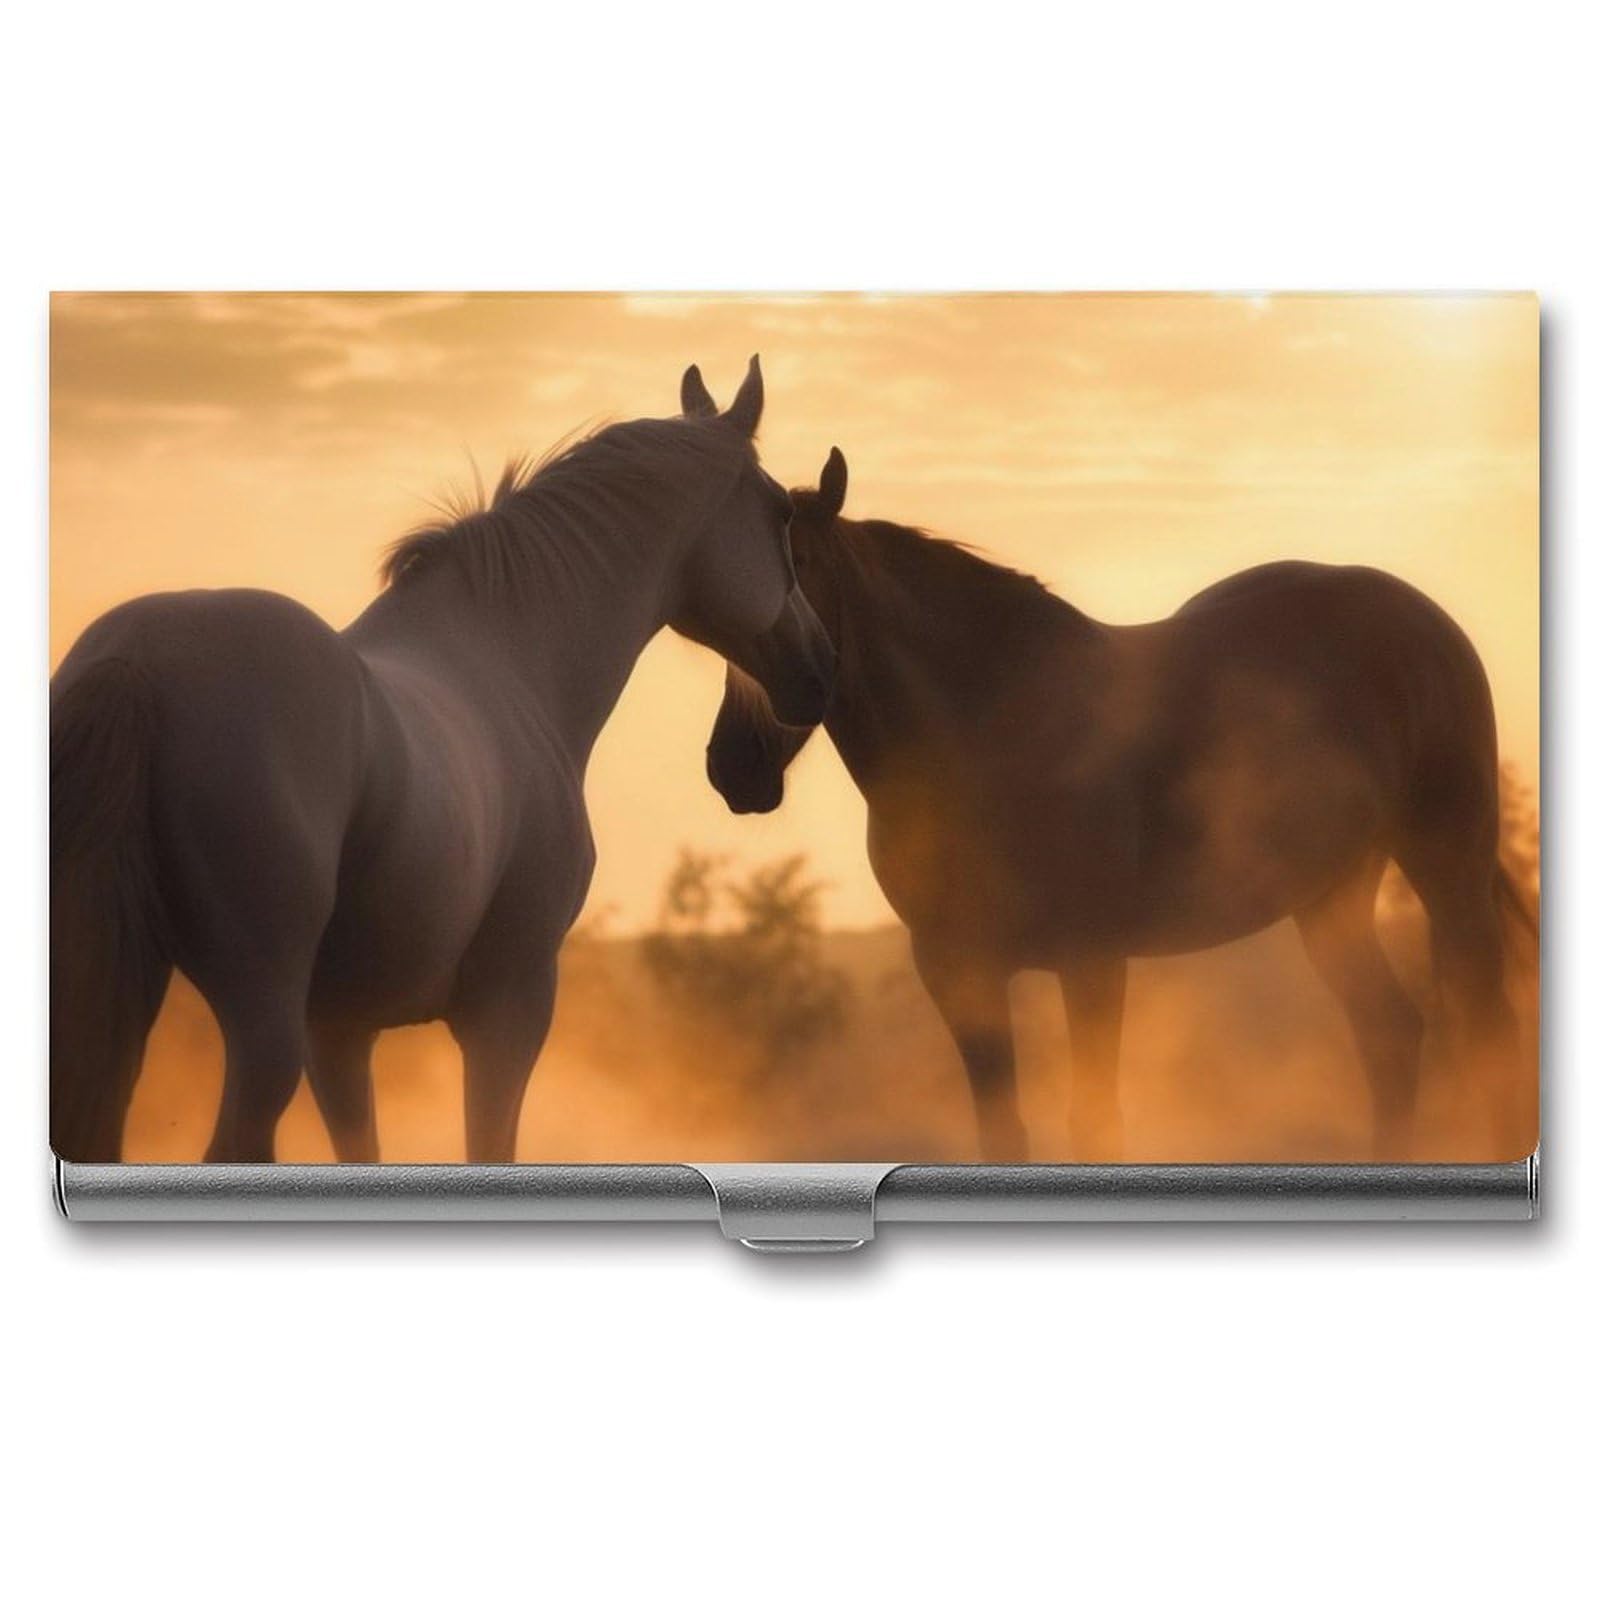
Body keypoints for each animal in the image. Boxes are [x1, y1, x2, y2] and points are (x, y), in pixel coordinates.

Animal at [51, 358, 835, 1165]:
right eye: (781, 515)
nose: (819, 671)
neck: (511, 657)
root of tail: (135, 662)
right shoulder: (510, 1009)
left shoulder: (338, 1028)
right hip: (261, 1015)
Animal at [706, 448, 1532, 1163]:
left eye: (800, 568)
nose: (733, 767)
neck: (992, 725)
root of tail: (1426, 624)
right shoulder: (956, 971)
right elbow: (1003, 1128)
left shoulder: (1093, 961)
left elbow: (1094, 1120)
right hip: (1330, 897)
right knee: (1390, 1034)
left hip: (1448, 868)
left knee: (1487, 1035)